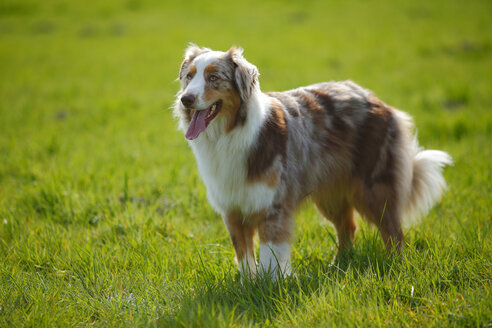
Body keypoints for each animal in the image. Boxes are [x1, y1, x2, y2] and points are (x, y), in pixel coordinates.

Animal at [173, 44, 454, 280]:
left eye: (213, 78)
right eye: (189, 77)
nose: (185, 99)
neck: (228, 134)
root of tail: (377, 100)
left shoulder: (274, 206)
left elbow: (270, 254)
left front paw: (270, 286)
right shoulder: (232, 208)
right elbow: (244, 256)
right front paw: (247, 285)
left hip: (375, 188)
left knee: (393, 231)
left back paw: (395, 266)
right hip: (330, 194)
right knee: (348, 228)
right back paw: (339, 265)